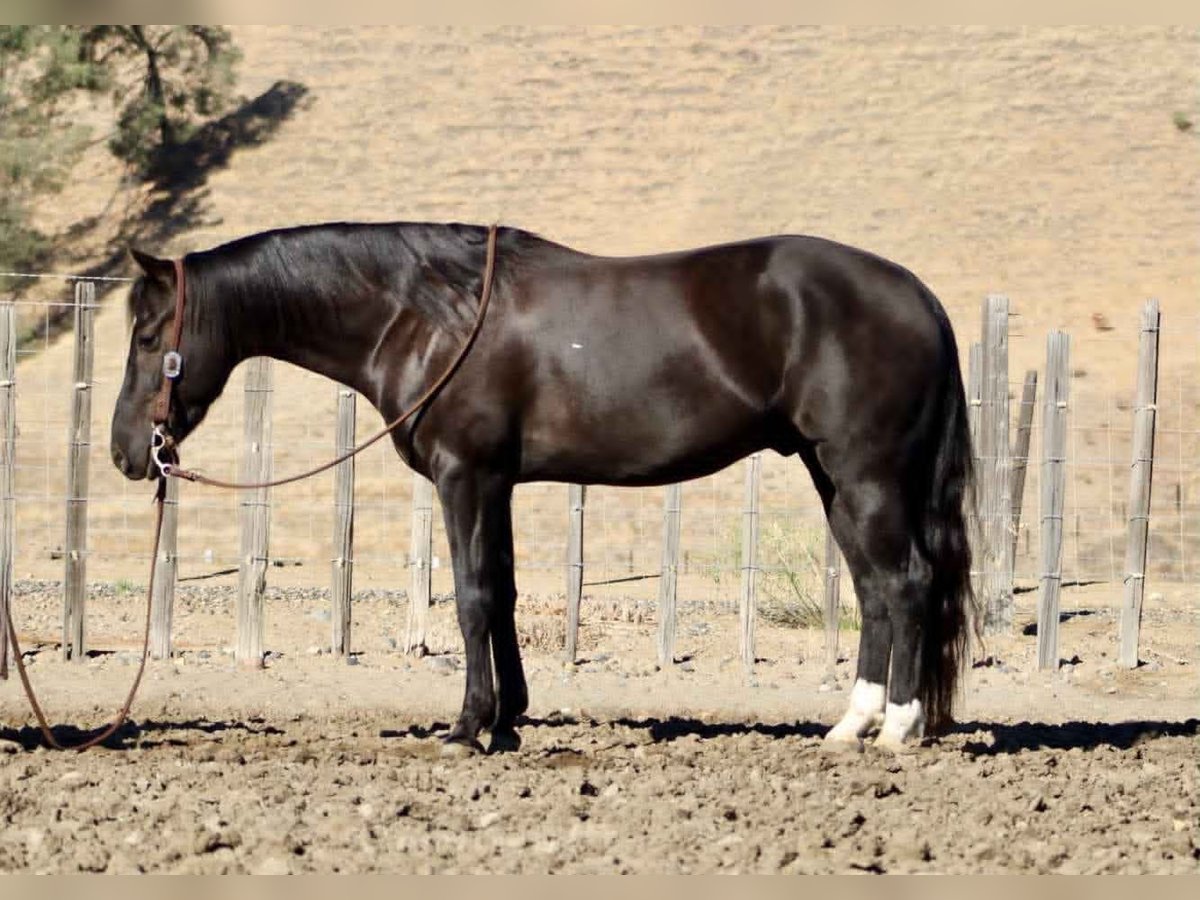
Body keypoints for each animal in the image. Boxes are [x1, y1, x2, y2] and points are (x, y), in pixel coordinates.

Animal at [111, 221, 976, 755]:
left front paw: (467, 727)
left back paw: (897, 728)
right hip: (833, 476)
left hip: (866, 474)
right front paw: (509, 721)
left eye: (150, 337)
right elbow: (503, 590)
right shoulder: (495, 482)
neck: (430, 313)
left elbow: (471, 596)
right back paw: (850, 726)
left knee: (905, 583)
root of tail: (917, 295)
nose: (126, 452)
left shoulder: (465, 475)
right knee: (873, 590)